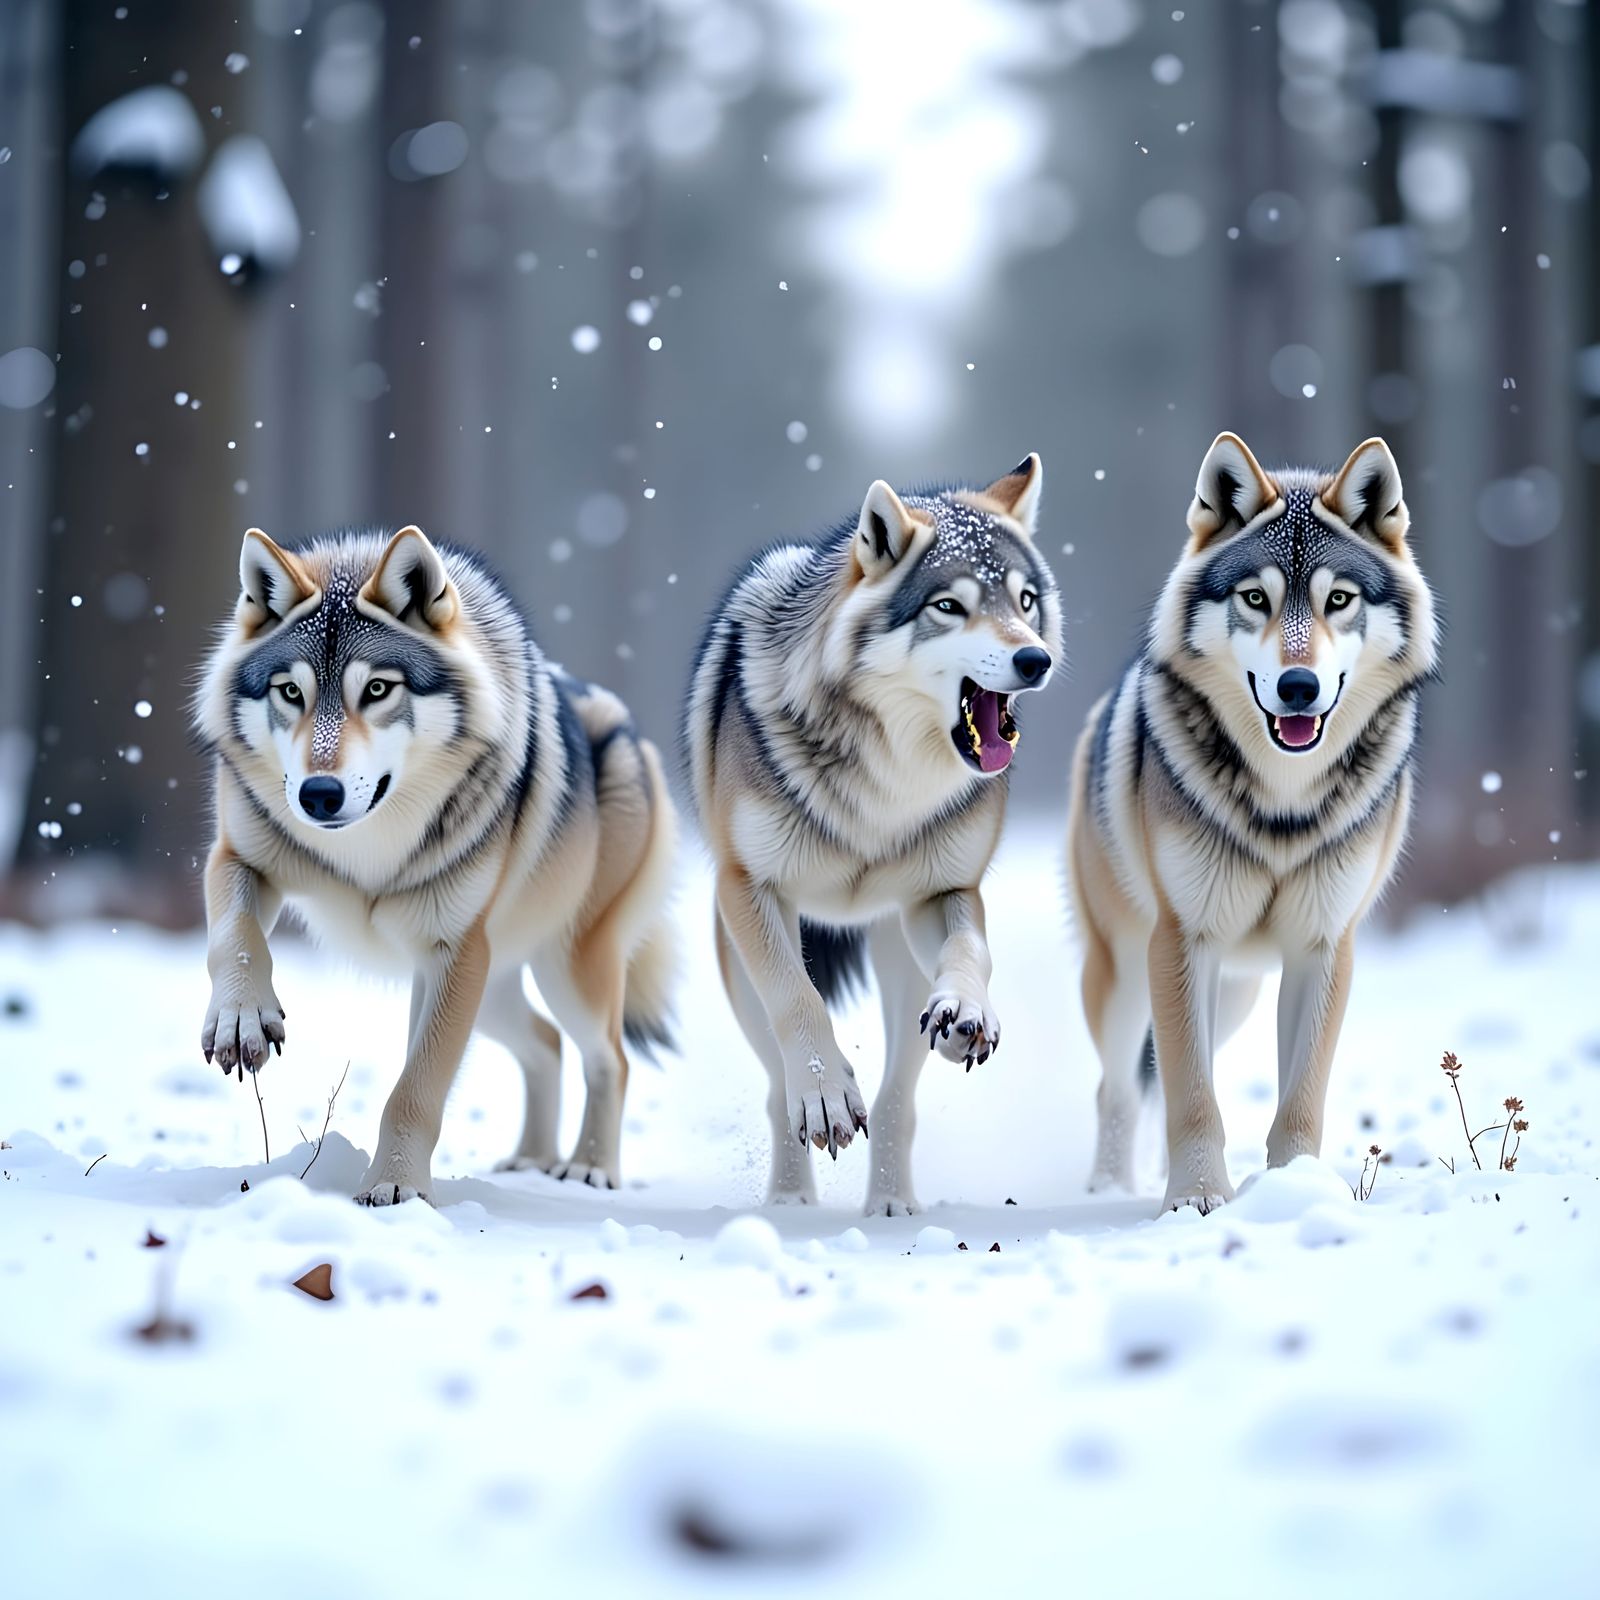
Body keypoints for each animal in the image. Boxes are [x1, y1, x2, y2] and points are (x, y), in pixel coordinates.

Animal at [192, 524, 678, 1203]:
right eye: (290, 692)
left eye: (377, 689)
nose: (319, 795)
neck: (367, 847)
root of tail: (626, 726)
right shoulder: (237, 860)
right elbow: (233, 942)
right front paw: (241, 1021)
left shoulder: (454, 953)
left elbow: (415, 1088)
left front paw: (395, 1187)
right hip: (497, 989)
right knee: (547, 1044)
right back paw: (530, 1161)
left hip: (564, 969)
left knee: (609, 1056)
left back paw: (588, 1169)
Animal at [686, 457, 1062, 1215]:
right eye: (949, 606)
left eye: (1026, 601)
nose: (1035, 661)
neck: (888, 782)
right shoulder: (753, 890)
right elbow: (799, 1003)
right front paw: (827, 1095)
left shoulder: (944, 892)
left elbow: (972, 954)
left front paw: (967, 1010)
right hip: (740, 962)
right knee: (776, 1084)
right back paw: (791, 1198)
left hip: (898, 953)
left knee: (897, 1095)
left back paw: (891, 1204)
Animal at [1066, 433, 1438, 1213]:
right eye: (1255, 598)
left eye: (1338, 599)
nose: (1298, 686)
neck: (1283, 803)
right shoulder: (1181, 941)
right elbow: (1191, 1095)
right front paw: (1197, 1200)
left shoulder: (1325, 946)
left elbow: (1301, 1097)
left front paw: (1295, 1189)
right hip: (1122, 975)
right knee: (1121, 1087)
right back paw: (1111, 1188)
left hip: (1236, 989)